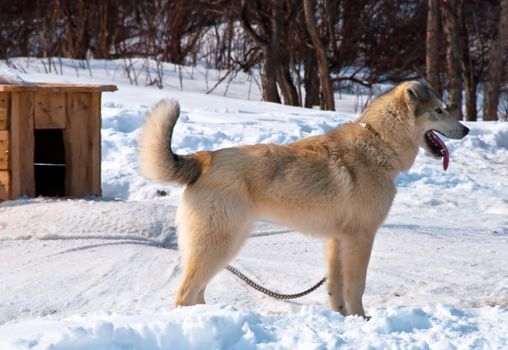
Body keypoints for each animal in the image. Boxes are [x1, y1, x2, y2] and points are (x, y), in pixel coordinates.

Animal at [138, 81, 468, 318]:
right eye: (440, 110)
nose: (466, 129)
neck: (379, 142)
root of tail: (203, 158)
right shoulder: (361, 239)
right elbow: (356, 287)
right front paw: (363, 320)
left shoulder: (338, 241)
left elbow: (336, 289)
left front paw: (343, 318)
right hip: (219, 245)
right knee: (184, 295)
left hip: (225, 246)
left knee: (196, 294)